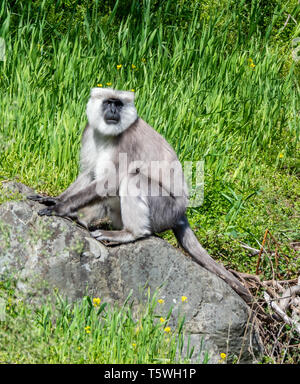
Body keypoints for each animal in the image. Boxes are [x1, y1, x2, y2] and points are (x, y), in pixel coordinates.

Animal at [28, 88, 252, 304]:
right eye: (108, 102)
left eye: (118, 104)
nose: (113, 111)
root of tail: (181, 212)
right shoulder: (89, 132)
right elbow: (89, 173)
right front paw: (56, 200)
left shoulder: (128, 141)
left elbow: (111, 182)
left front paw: (61, 208)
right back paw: (82, 219)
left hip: (165, 210)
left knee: (132, 178)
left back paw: (130, 233)